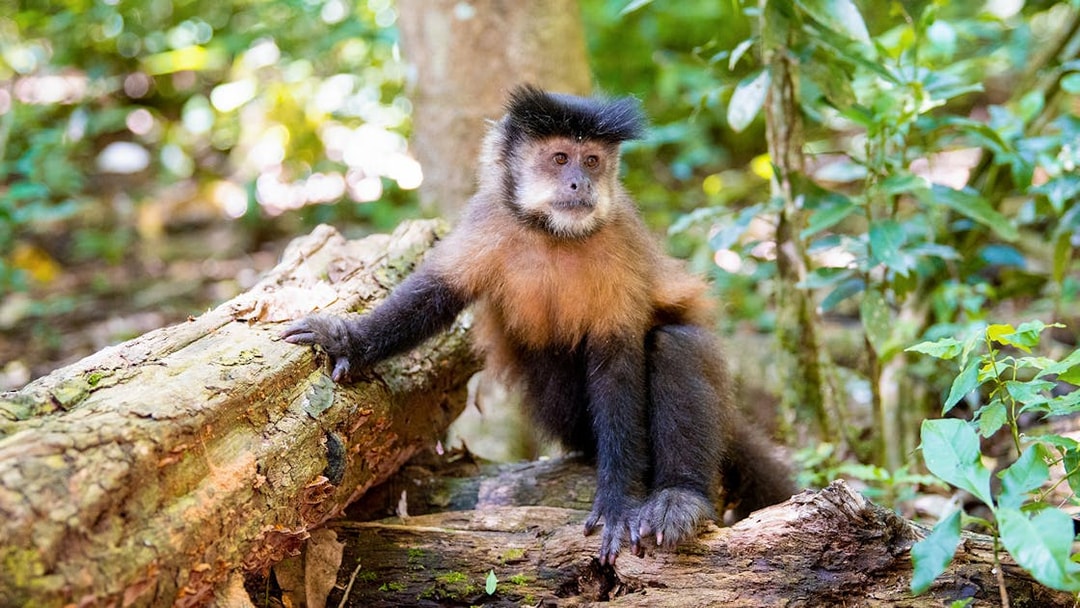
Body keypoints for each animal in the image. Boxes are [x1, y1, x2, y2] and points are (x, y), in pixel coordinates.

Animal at [281, 85, 796, 565]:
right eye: (561, 158)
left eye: (592, 161)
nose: (579, 183)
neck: (553, 233)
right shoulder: (489, 219)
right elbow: (433, 298)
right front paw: (347, 340)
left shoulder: (619, 240)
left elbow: (618, 365)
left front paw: (617, 502)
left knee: (674, 345)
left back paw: (680, 495)